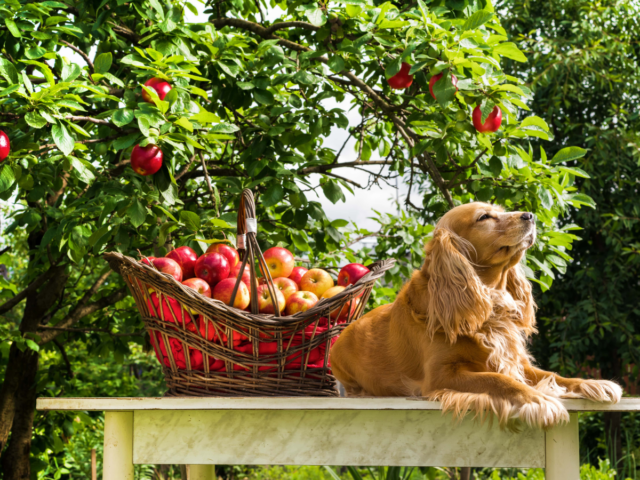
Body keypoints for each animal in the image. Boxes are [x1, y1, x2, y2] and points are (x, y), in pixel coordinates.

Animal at [330, 202, 620, 428]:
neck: (489, 300)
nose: (530, 215)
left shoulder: (515, 362)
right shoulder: (441, 375)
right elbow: (498, 379)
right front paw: (539, 399)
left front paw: (593, 383)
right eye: (484, 217)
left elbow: (554, 375)